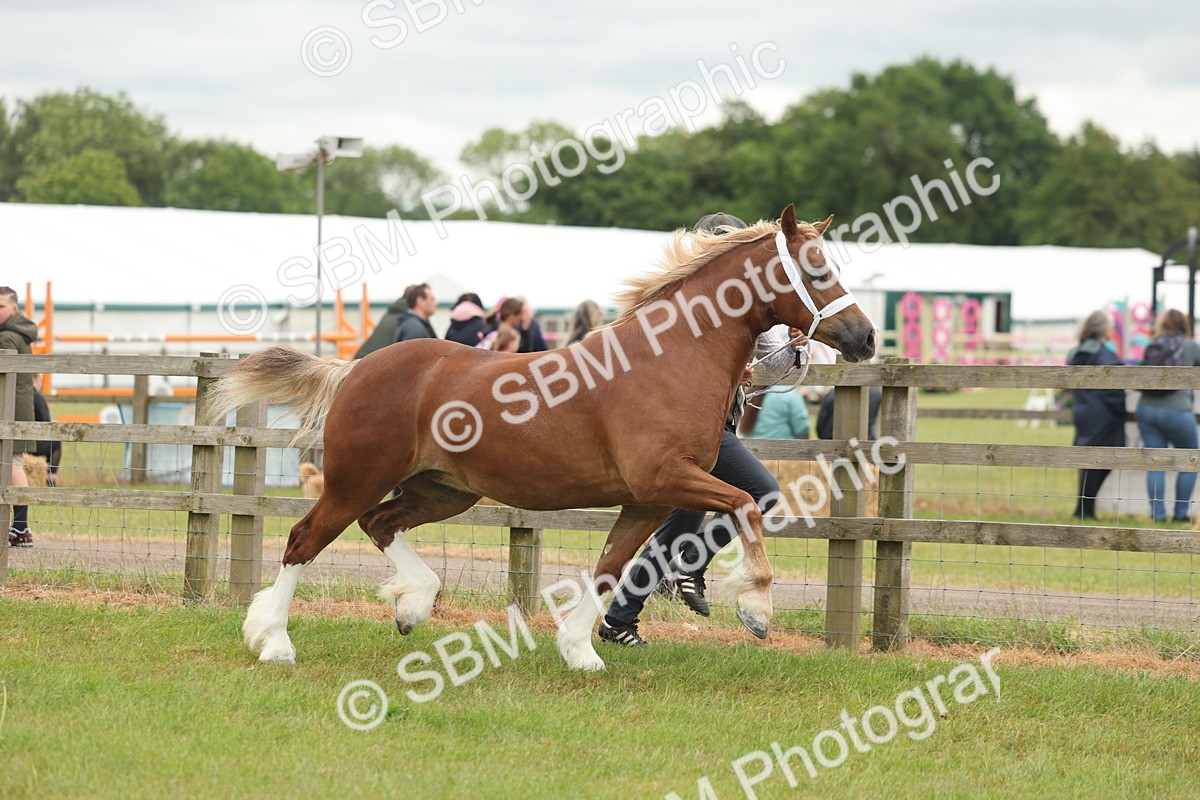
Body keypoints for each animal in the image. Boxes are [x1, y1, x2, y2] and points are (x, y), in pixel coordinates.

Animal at [208, 205, 876, 671]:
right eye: (817, 268)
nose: (866, 337)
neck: (668, 360)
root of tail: (355, 369)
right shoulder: (668, 479)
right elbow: (744, 507)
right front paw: (756, 609)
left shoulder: (648, 500)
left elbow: (611, 568)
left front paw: (582, 650)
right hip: (356, 479)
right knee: (304, 540)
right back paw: (274, 642)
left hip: (446, 490)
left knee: (379, 524)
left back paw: (411, 604)